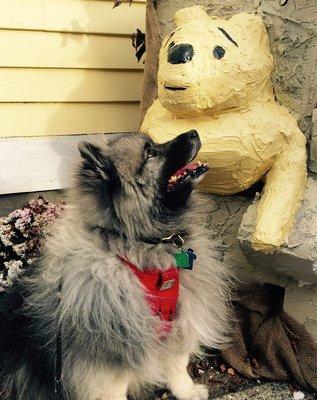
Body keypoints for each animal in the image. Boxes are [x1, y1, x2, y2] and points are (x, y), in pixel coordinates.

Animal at [0, 131, 232, 400]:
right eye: (150, 153)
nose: (194, 132)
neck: (143, 245)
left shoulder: (179, 322)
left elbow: (177, 364)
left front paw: (187, 391)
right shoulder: (108, 362)